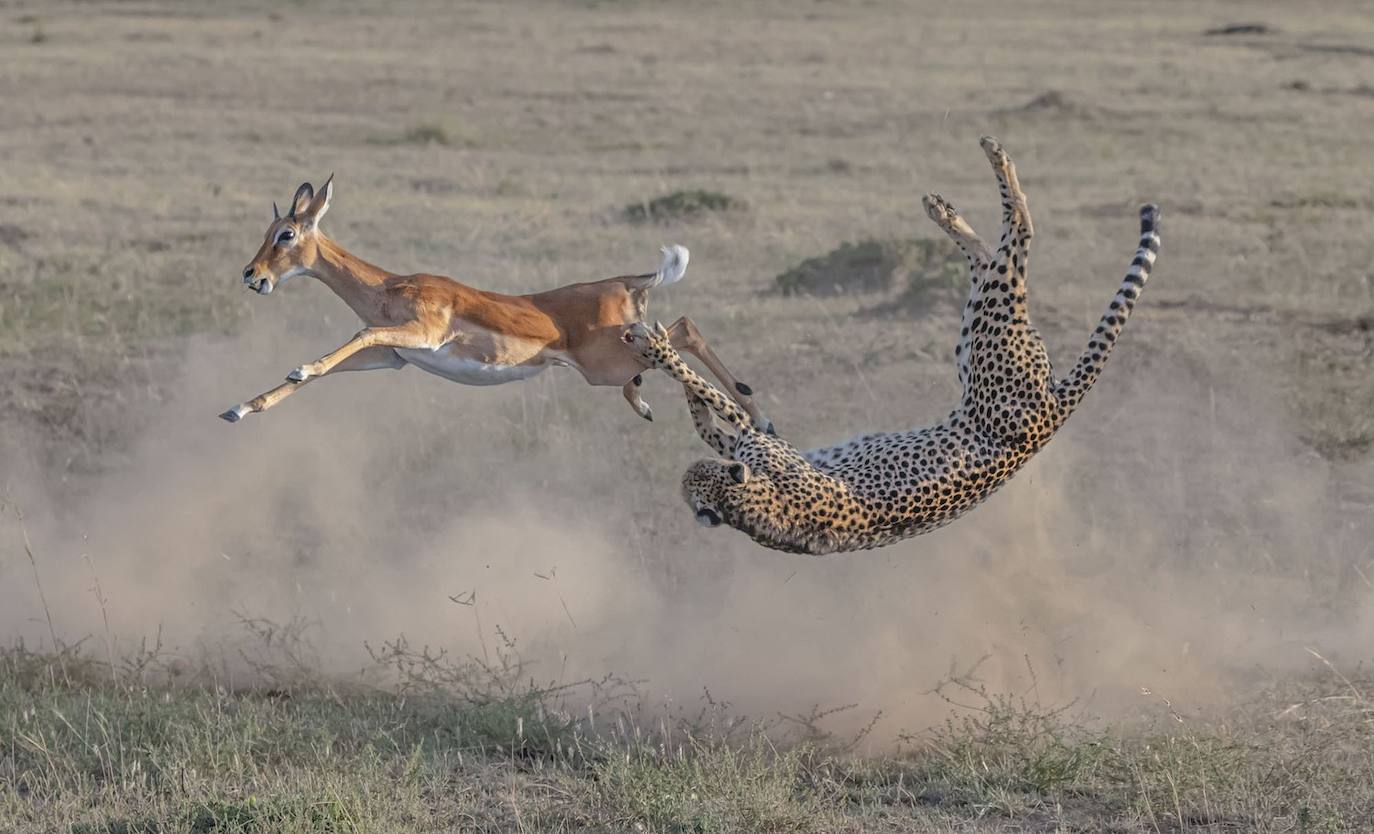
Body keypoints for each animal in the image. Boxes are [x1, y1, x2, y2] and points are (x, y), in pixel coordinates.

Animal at [623, 135, 1159, 555]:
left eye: (697, 476)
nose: (702, 473)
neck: (754, 511)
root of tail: (1053, 411)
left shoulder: (765, 446)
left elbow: (721, 404)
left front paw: (660, 351)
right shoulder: (762, 446)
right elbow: (717, 417)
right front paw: (671, 369)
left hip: (990, 335)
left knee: (1018, 234)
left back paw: (982, 170)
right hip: (981, 334)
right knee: (999, 255)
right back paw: (950, 205)